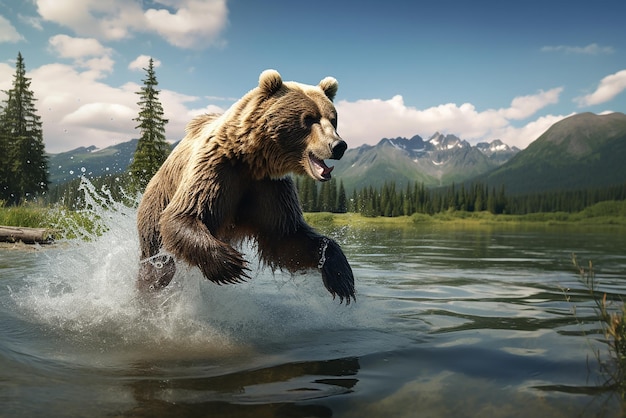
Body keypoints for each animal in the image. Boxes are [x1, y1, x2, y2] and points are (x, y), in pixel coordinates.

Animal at [136, 68, 354, 304]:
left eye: (333, 119)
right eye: (309, 118)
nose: (338, 145)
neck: (252, 160)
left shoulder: (270, 188)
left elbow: (286, 239)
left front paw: (340, 275)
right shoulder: (217, 171)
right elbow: (184, 215)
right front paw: (232, 264)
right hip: (155, 205)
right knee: (158, 262)